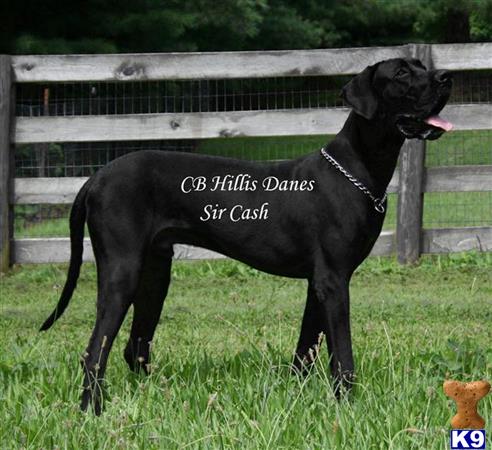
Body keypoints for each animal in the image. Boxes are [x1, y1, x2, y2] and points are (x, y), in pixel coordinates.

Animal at [40, 59, 452, 414]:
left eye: (421, 67)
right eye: (401, 73)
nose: (445, 77)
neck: (356, 169)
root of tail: (95, 177)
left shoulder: (317, 283)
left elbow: (306, 349)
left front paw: (297, 397)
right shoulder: (334, 281)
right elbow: (343, 356)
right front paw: (347, 406)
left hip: (155, 273)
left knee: (133, 347)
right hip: (122, 272)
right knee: (95, 352)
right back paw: (92, 410)